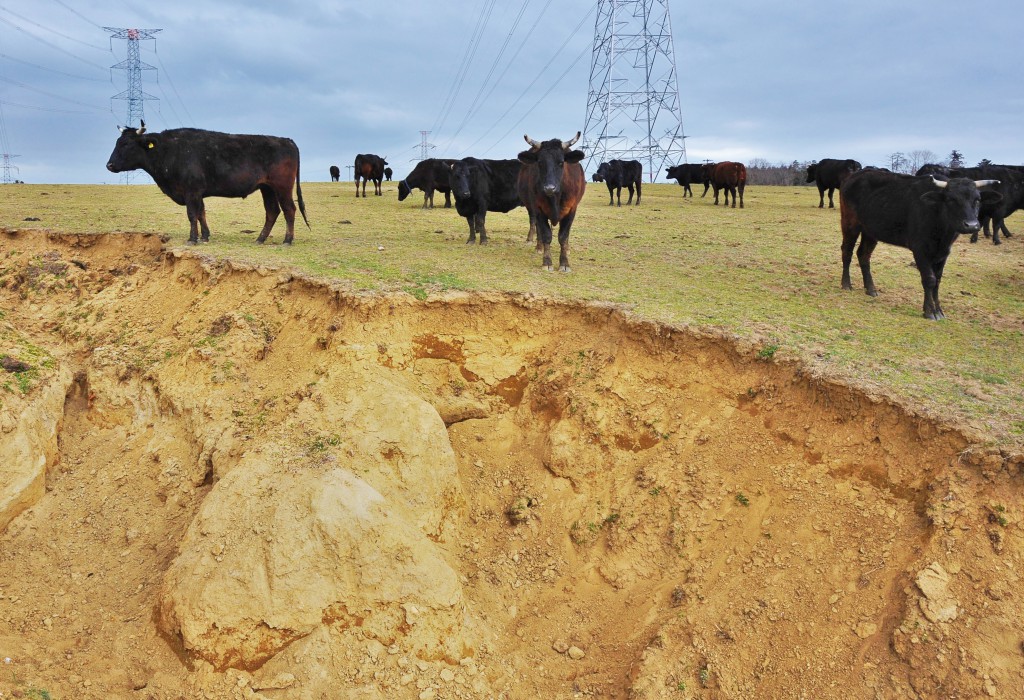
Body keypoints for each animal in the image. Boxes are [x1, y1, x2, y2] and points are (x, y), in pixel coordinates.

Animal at [107, 122, 311, 245]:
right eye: (117, 142)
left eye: (127, 144)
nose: (109, 165)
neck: (170, 151)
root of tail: (286, 140)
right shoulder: (197, 193)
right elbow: (201, 213)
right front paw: (205, 236)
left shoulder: (191, 191)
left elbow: (192, 214)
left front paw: (192, 238)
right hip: (267, 188)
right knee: (272, 211)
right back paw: (260, 239)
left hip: (282, 187)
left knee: (289, 209)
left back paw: (287, 240)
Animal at [520, 130, 585, 270]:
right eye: (540, 163)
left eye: (561, 162)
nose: (549, 188)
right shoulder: (539, 209)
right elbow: (546, 235)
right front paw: (547, 262)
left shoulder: (571, 210)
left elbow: (563, 236)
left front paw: (564, 263)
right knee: (535, 225)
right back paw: (538, 247)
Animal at [839, 167, 999, 321]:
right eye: (951, 199)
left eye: (977, 199)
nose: (971, 225)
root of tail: (855, 175)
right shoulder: (920, 250)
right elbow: (929, 279)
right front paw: (930, 312)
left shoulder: (944, 252)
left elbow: (937, 281)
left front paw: (939, 310)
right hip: (850, 224)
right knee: (847, 251)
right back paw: (846, 284)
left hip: (870, 231)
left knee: (863, 255)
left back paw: (871, 289)